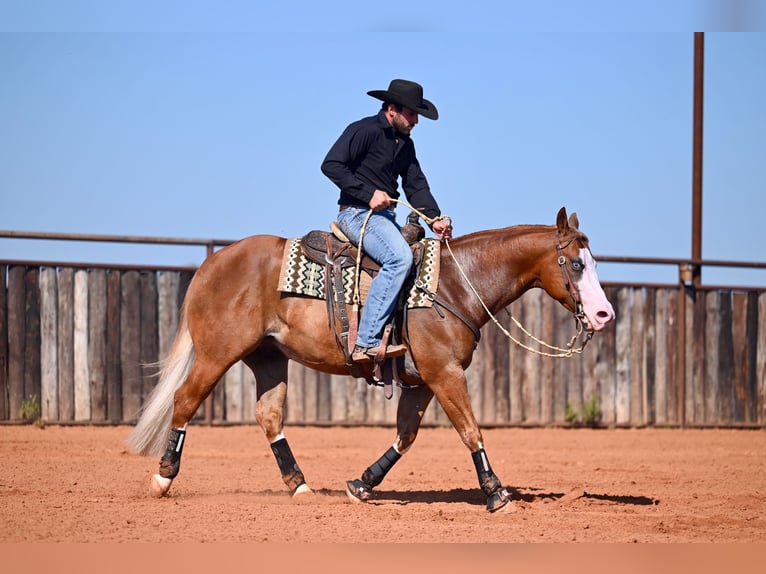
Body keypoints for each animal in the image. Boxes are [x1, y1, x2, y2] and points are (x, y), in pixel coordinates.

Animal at [125, 206, 615, 512]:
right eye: (575, 264)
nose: (603, 315)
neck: (455, 284)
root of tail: (211, 265)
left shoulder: (422, 381)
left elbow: (405, 436)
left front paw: (362, 484)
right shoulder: (445, 374)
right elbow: (471, 431)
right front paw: (497, 494)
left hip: (268, 358)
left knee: (269, 416)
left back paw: (300, 485)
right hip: (218, 353)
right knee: (185, 400)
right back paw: (163, 478)